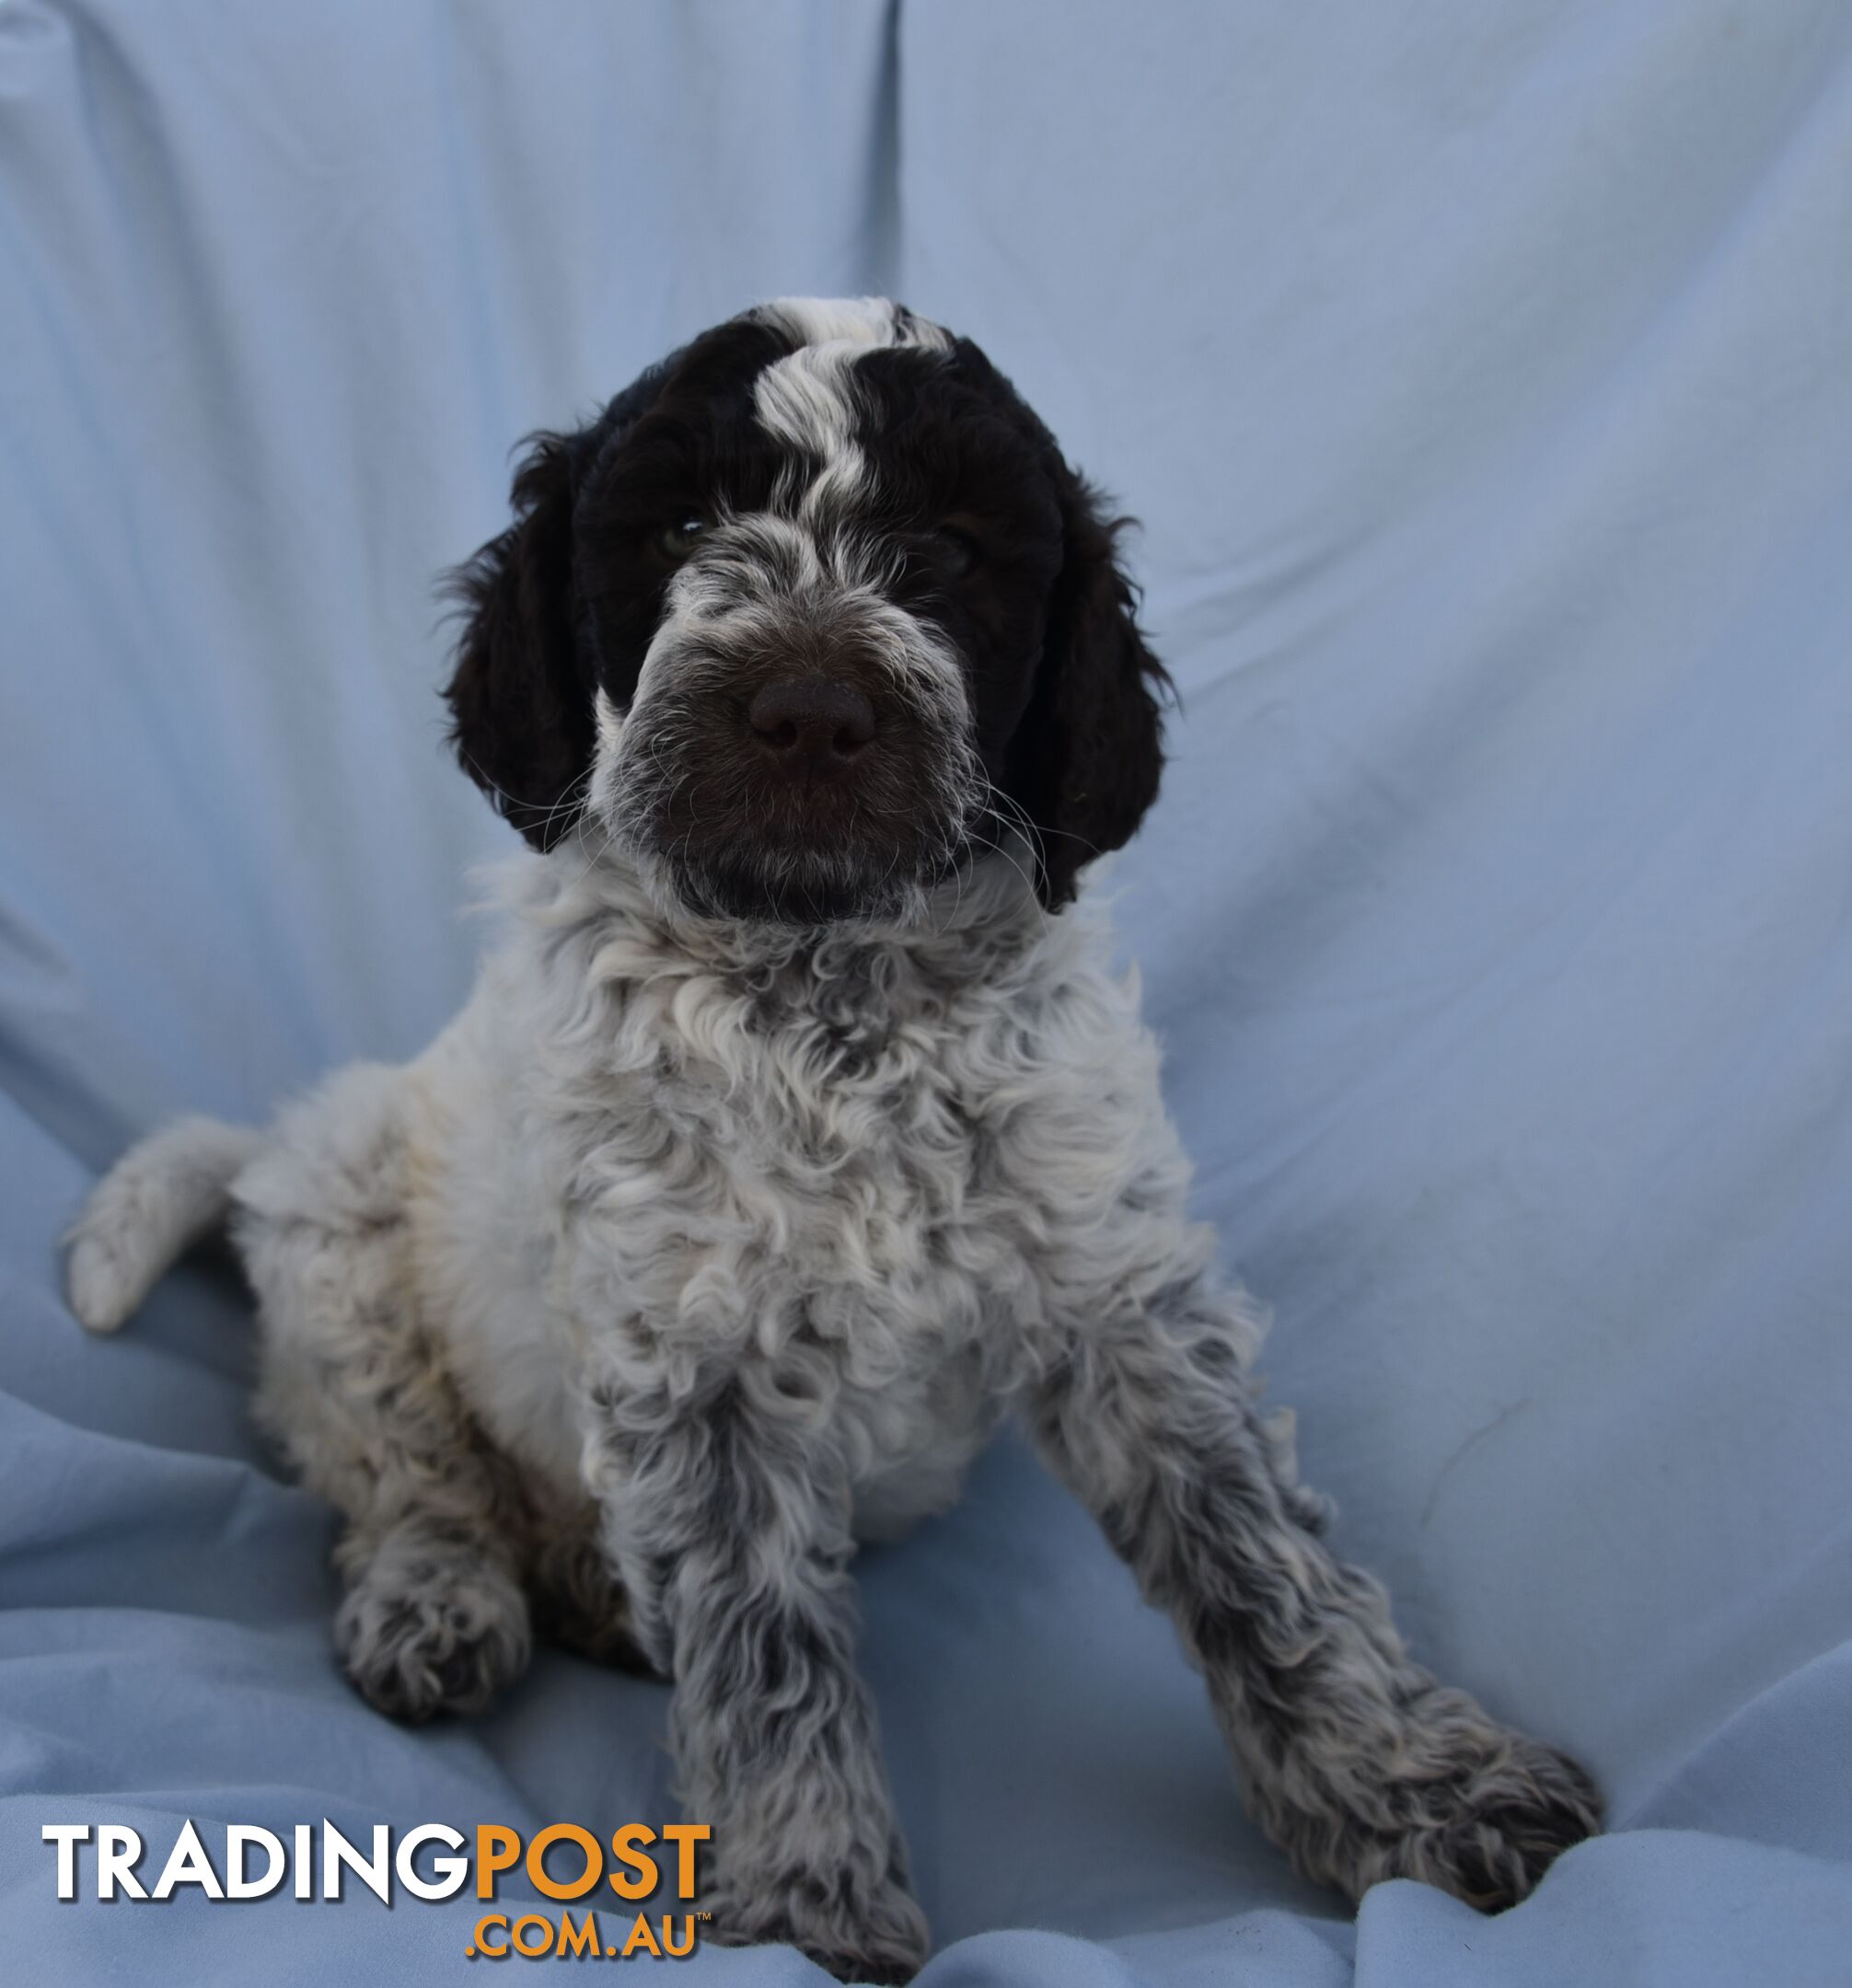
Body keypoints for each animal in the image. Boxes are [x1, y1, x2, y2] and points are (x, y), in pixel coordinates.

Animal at [72, 298, 1599, 1988]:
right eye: (682, 529)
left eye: (947, 552)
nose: (808, 712)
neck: (833, 999)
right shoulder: (699, 1370)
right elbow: (761, 1658)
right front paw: (807, 1914)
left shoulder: (1119, 1295)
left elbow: (1265, 1568)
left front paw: (1422, 1791)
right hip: (338, 1214)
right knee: (406, 1474)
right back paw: (437, 1601)